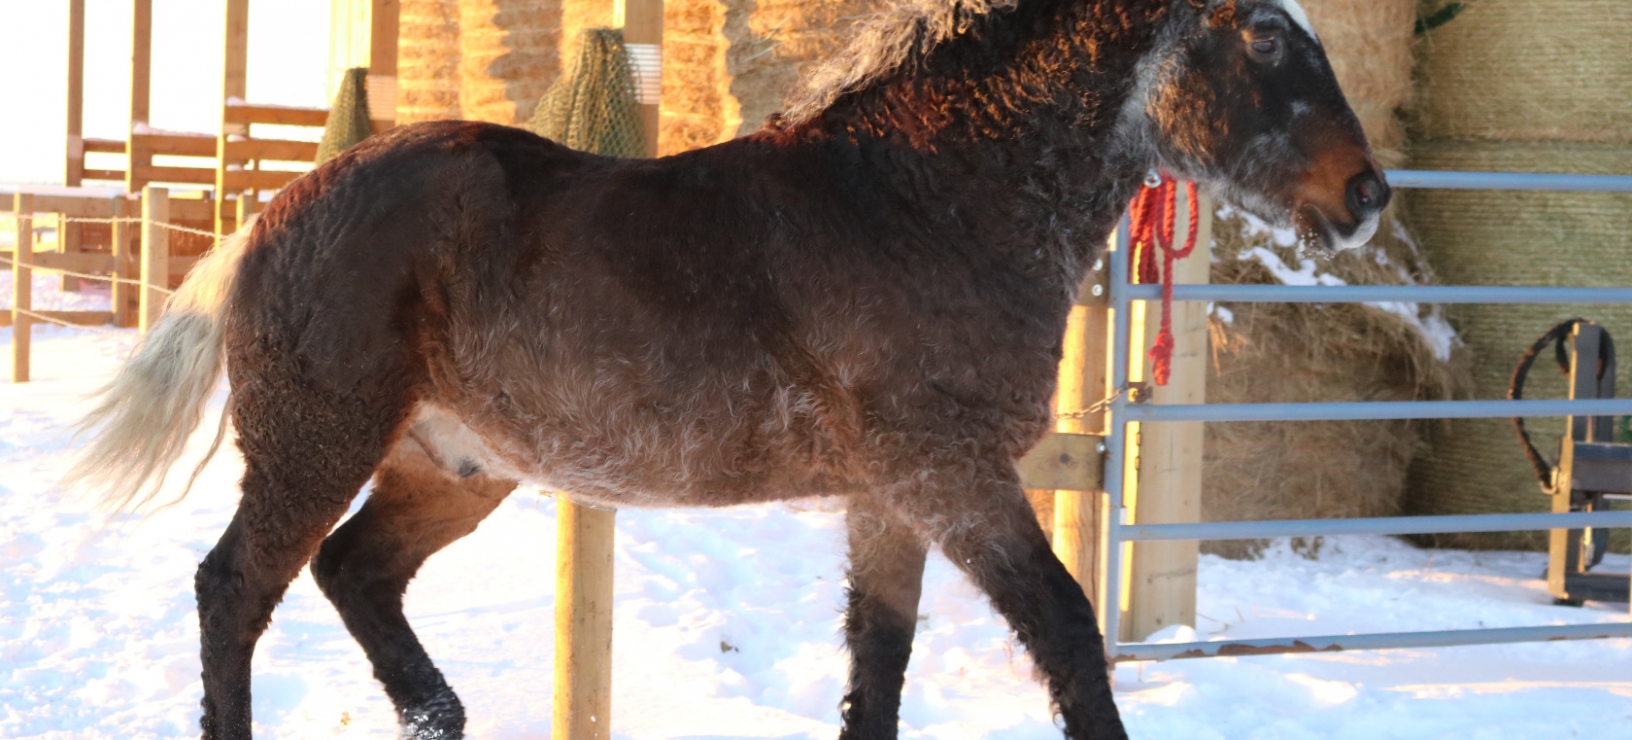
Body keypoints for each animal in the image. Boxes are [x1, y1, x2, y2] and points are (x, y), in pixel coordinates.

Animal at [66, 0, 1387, 737]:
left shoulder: (889, 495)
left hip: (457, 466)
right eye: (1266, 33)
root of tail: (275, 210)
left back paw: (440, 715)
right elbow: (1064, 630)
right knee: (235, 588)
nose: (1366, 195)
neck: (929, 203)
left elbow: (878, 666)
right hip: (316, 443)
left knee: (355, 573)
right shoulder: (952, 473)